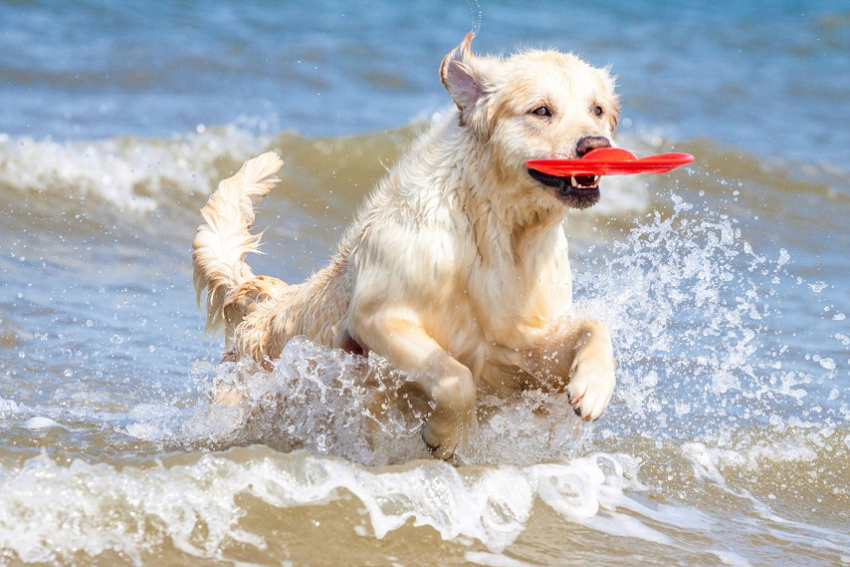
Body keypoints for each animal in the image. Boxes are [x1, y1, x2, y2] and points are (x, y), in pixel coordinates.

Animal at [192, 34, 616, 462]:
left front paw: (593, 388)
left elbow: (594, 326)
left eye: (597, 109)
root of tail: (256, 305)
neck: (495, 233)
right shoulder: (376, 318)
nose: (597, 145)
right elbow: (455, 376)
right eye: (541, 110)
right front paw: (443, 435)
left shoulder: (521, 347)